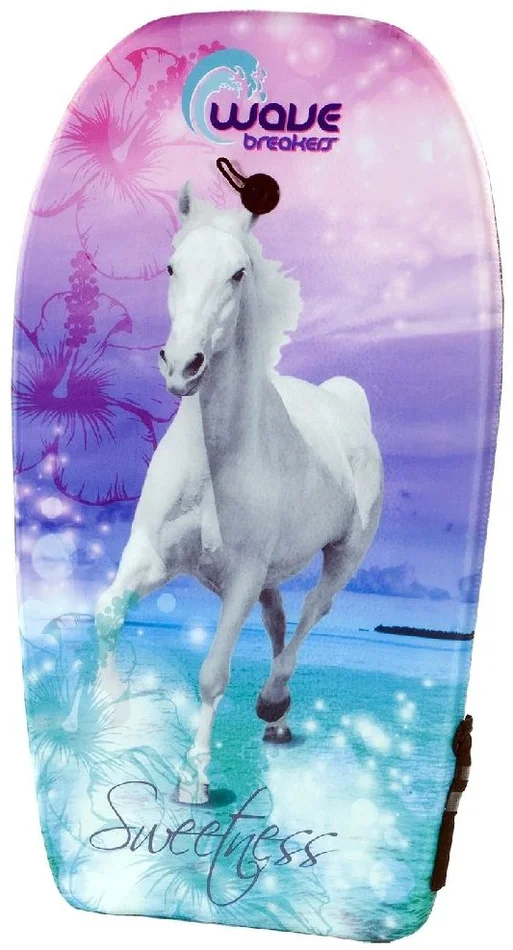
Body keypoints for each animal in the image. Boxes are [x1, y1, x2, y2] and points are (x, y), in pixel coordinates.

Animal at [94, 183, 384, 803]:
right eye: (172, 265)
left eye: (237, 273)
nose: (182, 366)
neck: (212, 463)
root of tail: (347, 401)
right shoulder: (151, 556)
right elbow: (107, 613)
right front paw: (110, 716)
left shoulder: (243, 578)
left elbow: (212, 674)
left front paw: (193, 779)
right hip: (271, 576)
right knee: (278, 623)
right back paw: (278, 723)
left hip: (342, 555)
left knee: (313, 611)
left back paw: (272, 702)